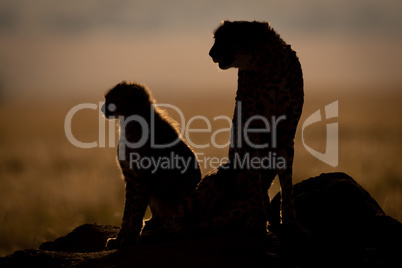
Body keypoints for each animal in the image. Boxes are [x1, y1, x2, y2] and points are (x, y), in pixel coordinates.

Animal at [101, 80, 200, 248]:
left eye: (111, 99)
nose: (102, 109)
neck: (129, 119)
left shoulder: (141, 179)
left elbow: (135, 210)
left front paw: (128, 238)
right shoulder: (130, 177)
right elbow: (127, 210)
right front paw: (120, 238)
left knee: (175, 223)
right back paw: (151, 224)